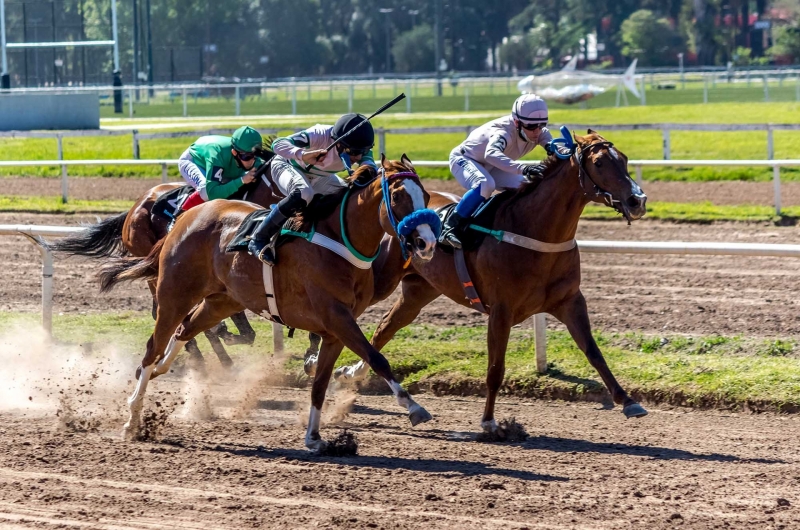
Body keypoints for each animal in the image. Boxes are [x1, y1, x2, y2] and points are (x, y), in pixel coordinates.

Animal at [50, 171, 280, 370]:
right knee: (164, 312)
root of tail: (134, 206)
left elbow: (243, 329)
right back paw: (198, 357)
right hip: (156, 263)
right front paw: (223, 332)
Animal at [98, 155, 444, 448]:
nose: (426, 242)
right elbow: (376, 358)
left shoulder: (334, 330)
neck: (340, 241)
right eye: (397, 197)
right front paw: (414, 407)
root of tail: (185, 218)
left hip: (222, 301)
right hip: (175, 294)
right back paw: (133, 418)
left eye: (426, 198)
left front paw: (314, 437)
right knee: (153, 347)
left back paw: (164, 370)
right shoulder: (337, 317)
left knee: (186, 331)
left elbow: (320, 384)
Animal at [332, 131, 648, 434]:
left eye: (624, 158)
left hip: (419, 291)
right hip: (381, 281)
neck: (535, 232)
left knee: (385, 327)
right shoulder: (501, 310)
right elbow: (496, 368)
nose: (637, 200)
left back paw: (351, 373)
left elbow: (594, 352)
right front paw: (489, 422)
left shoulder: (570, 301)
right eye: (599, 163)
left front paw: (628, 401)